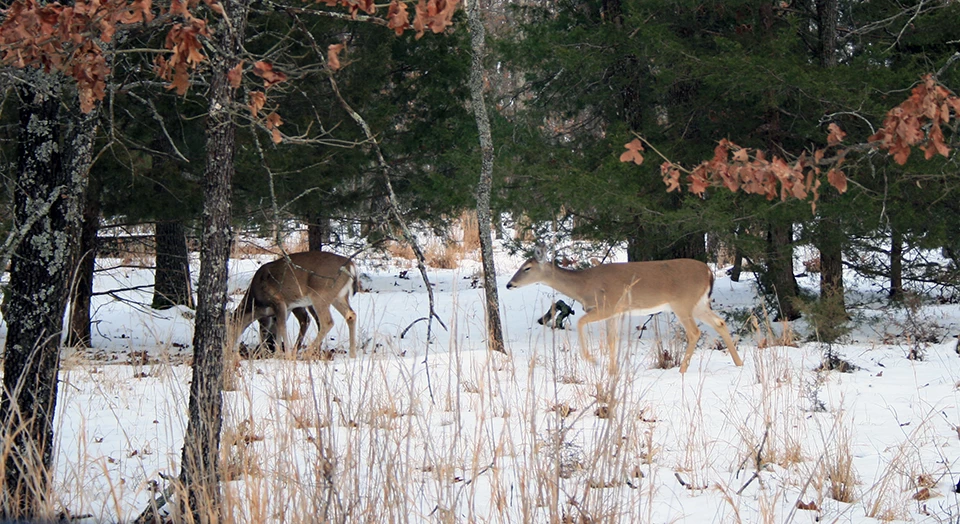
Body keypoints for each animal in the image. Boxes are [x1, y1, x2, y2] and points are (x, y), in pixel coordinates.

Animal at [506, 246, 741, 373]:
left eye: (527, 268)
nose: (509, 284)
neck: (584, 285)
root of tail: (709, 272)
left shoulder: (607, 306)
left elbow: (581, 322)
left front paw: (592, 359)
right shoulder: (616, 313)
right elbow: (612, 340)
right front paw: (612, 370)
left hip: (683, 302)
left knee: (694, 332)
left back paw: (682, 369)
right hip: (699, 303)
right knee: (720, 322)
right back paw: (739, 362)